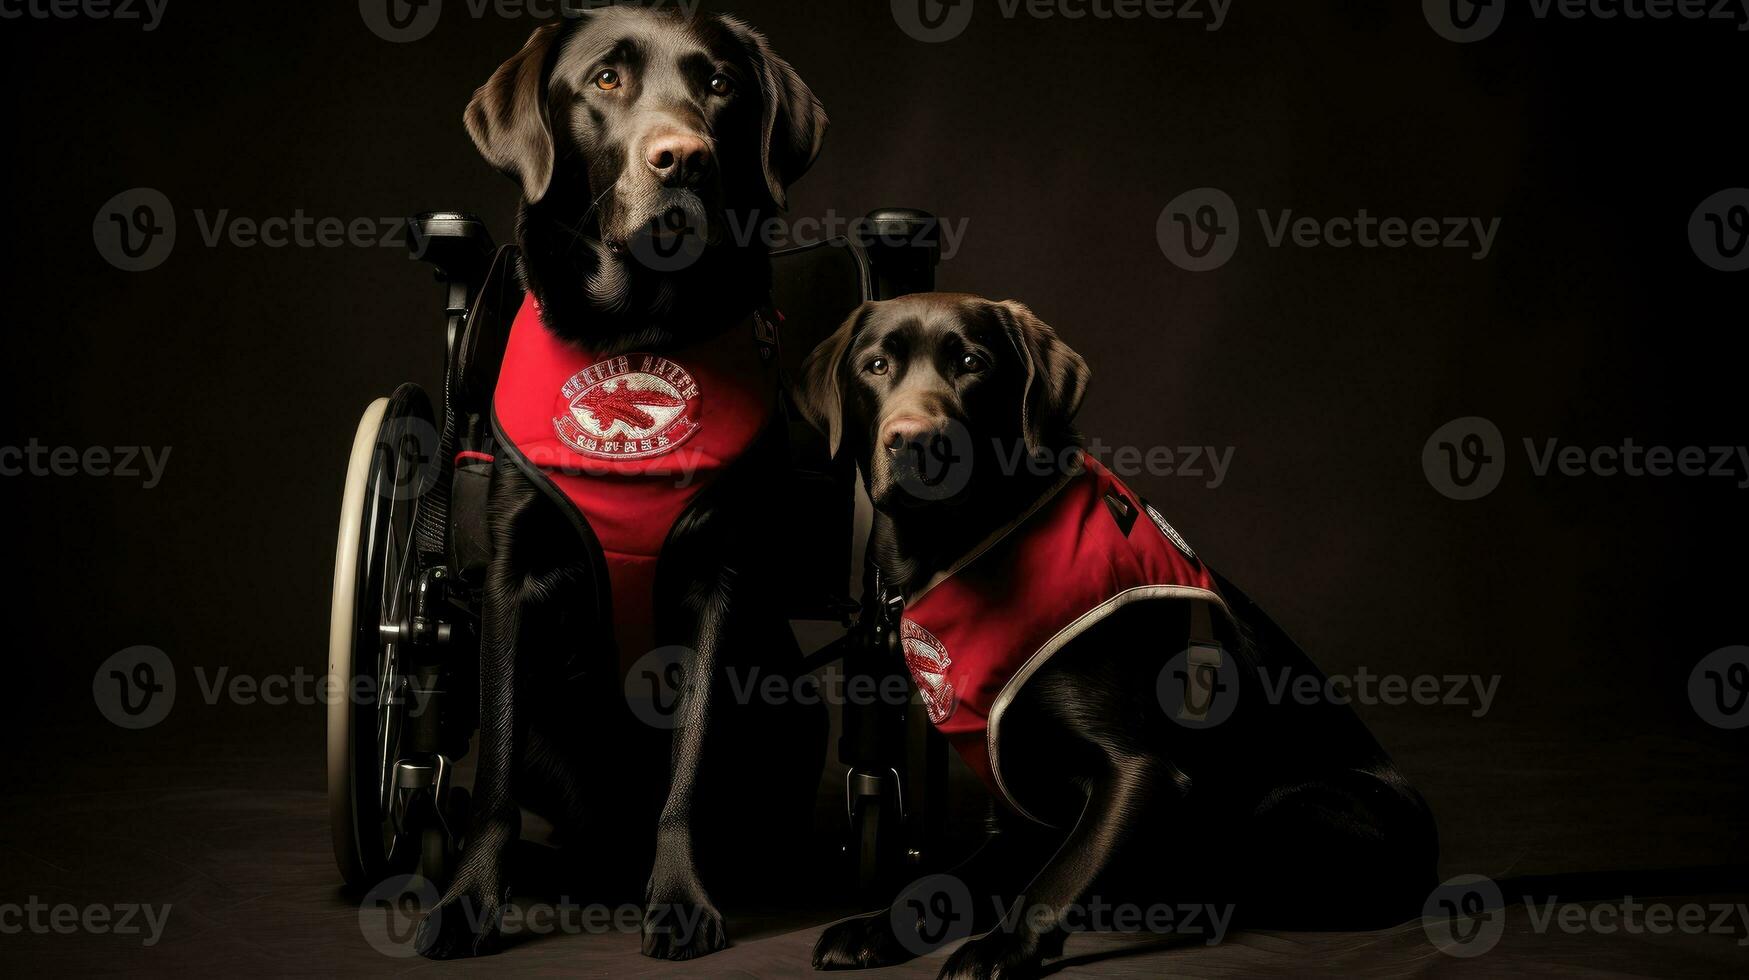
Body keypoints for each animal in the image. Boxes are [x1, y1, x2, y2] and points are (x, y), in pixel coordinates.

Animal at [423, 7, 832, 959]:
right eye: (605, 81)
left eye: (720, 84)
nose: (684, 157)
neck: (636, 334)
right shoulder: (510, 579)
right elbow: (494, 768)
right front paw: (468, 898)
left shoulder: (721, 583)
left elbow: (691, 764)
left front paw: (681, 898)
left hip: (798, 703)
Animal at [801, 294, 1441, 973]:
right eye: (876, 366)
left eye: (972, 363)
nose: (915, 440)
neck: (961, 550)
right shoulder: (1017, 818)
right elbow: (947, 880)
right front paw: (876, 925)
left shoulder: (1138, 773)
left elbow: (1058, 876)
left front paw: (1002, 945)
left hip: (1300, 808)